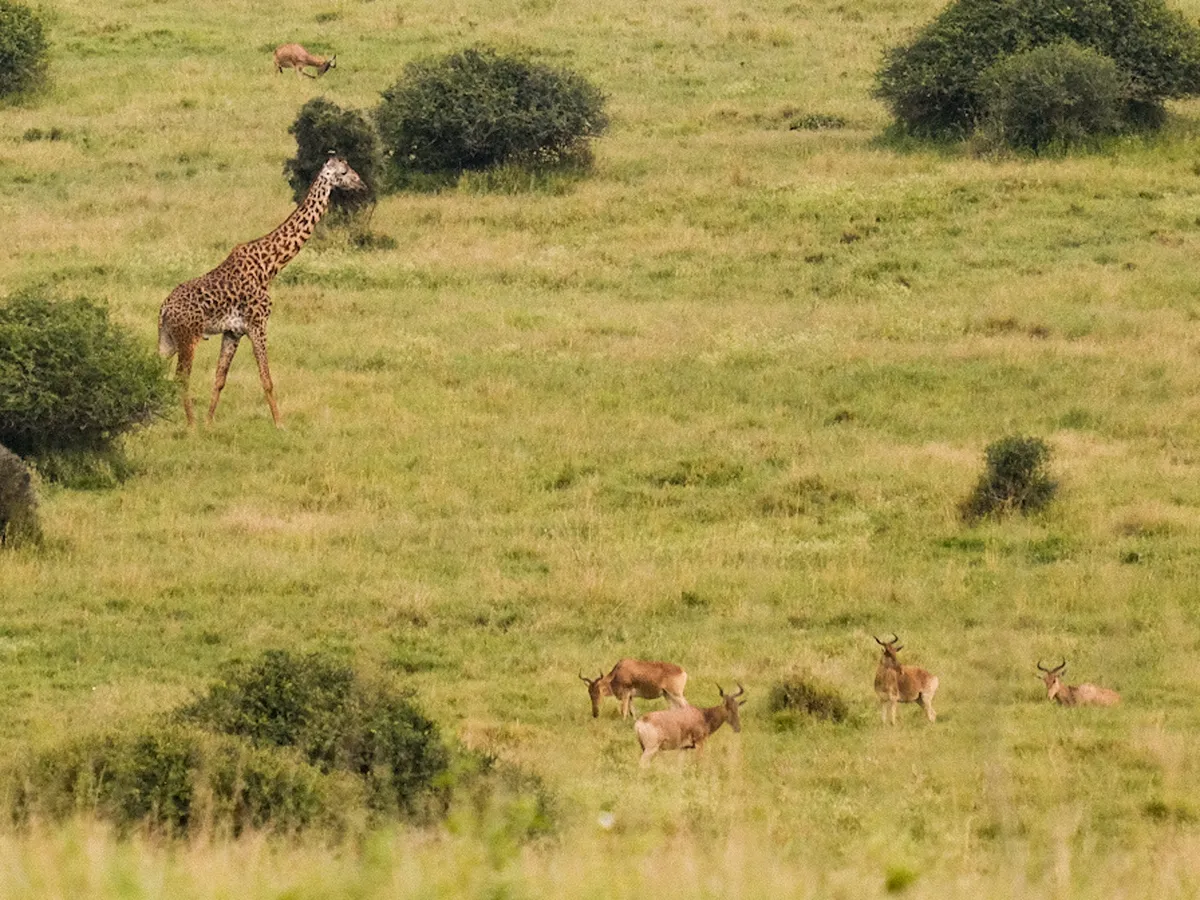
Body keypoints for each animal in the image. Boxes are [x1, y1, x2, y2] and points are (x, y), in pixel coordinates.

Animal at [159, 156, 364, 429]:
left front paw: (210, 422)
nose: (361, 185)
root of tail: (163, 309)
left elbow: (220, 378)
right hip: (188, 338)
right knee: (181, 377)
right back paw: (190, 424)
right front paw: (280, 424)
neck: (270, 266)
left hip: (167, 341)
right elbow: (267, 379)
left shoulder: (233, 332)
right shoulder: (258, 325)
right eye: (344, 172)